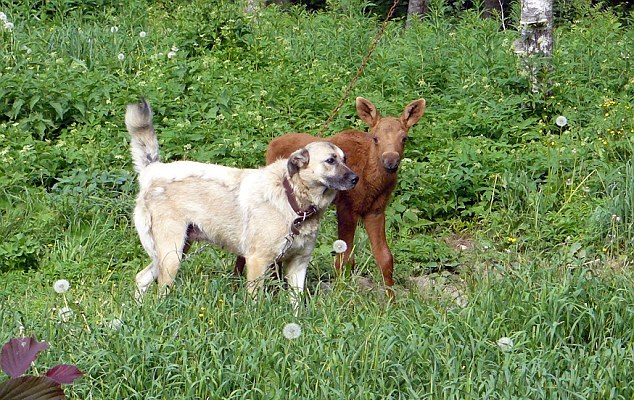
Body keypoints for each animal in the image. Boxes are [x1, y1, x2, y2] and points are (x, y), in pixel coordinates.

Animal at [123, 100, 356, 310]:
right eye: (330, 161)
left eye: (345, 159)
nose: (356, 179)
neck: (293, 200)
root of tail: (153, 170)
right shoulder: (257, 262)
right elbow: (255, 304)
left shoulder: (298, 264)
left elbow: (296, 304)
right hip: (171, 255)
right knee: (160, 289)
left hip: (174, 251)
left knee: (141, 277)